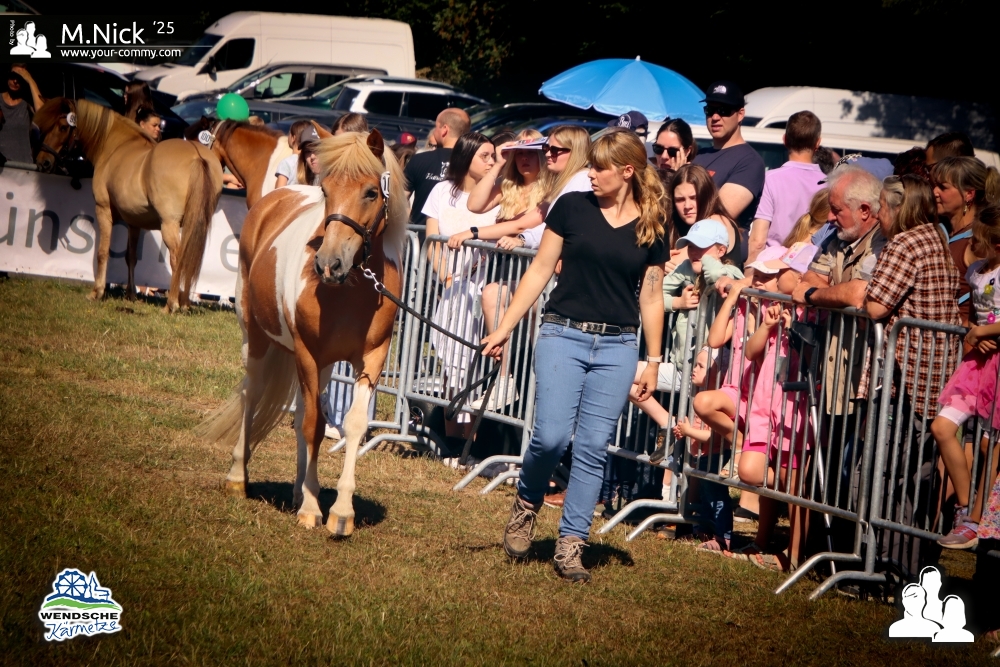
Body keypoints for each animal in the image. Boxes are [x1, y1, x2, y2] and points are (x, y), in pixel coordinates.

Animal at [38, 99, 224, 312]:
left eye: (62, 127)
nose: (43, 161)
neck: (116, 146)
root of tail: (197, 156)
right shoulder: (134, 221)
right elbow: (131, 257)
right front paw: (130, 294)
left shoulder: (103, 209)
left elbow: (103, 252)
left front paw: (97, 292)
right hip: (193, 224)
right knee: (188, 257)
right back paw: (184, 304)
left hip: (169, 224)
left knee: (177, 257)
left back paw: (171, 305)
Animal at [198, 129, 408, 537]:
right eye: (326, 189)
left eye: (370, 192)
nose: (329, 263)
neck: (351, 289)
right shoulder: (309, 353)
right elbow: (313, 425)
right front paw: (312, 508)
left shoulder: (370, 358)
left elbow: (351, 425)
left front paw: (340, 512)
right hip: (257, 338)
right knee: (252, 395)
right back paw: (238, 478)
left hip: (318, 366)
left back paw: (297, 490)